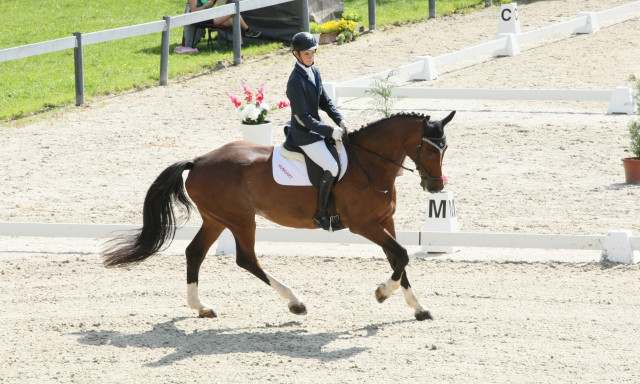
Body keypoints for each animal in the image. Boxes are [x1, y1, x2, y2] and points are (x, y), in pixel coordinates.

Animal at [104, 111, 456, 320]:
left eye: (446, 148)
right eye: (430, 149)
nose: (436, 187)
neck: (368, 164)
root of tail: (199, 160)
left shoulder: (384, 221)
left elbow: (398, 257)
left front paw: (418, 307)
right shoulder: (364, 225)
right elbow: (402, 255)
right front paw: (383, 292)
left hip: (217, 218)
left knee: (195, 253)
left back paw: (201, 307)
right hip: (240, 219)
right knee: (246, 259)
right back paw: (295, 302)